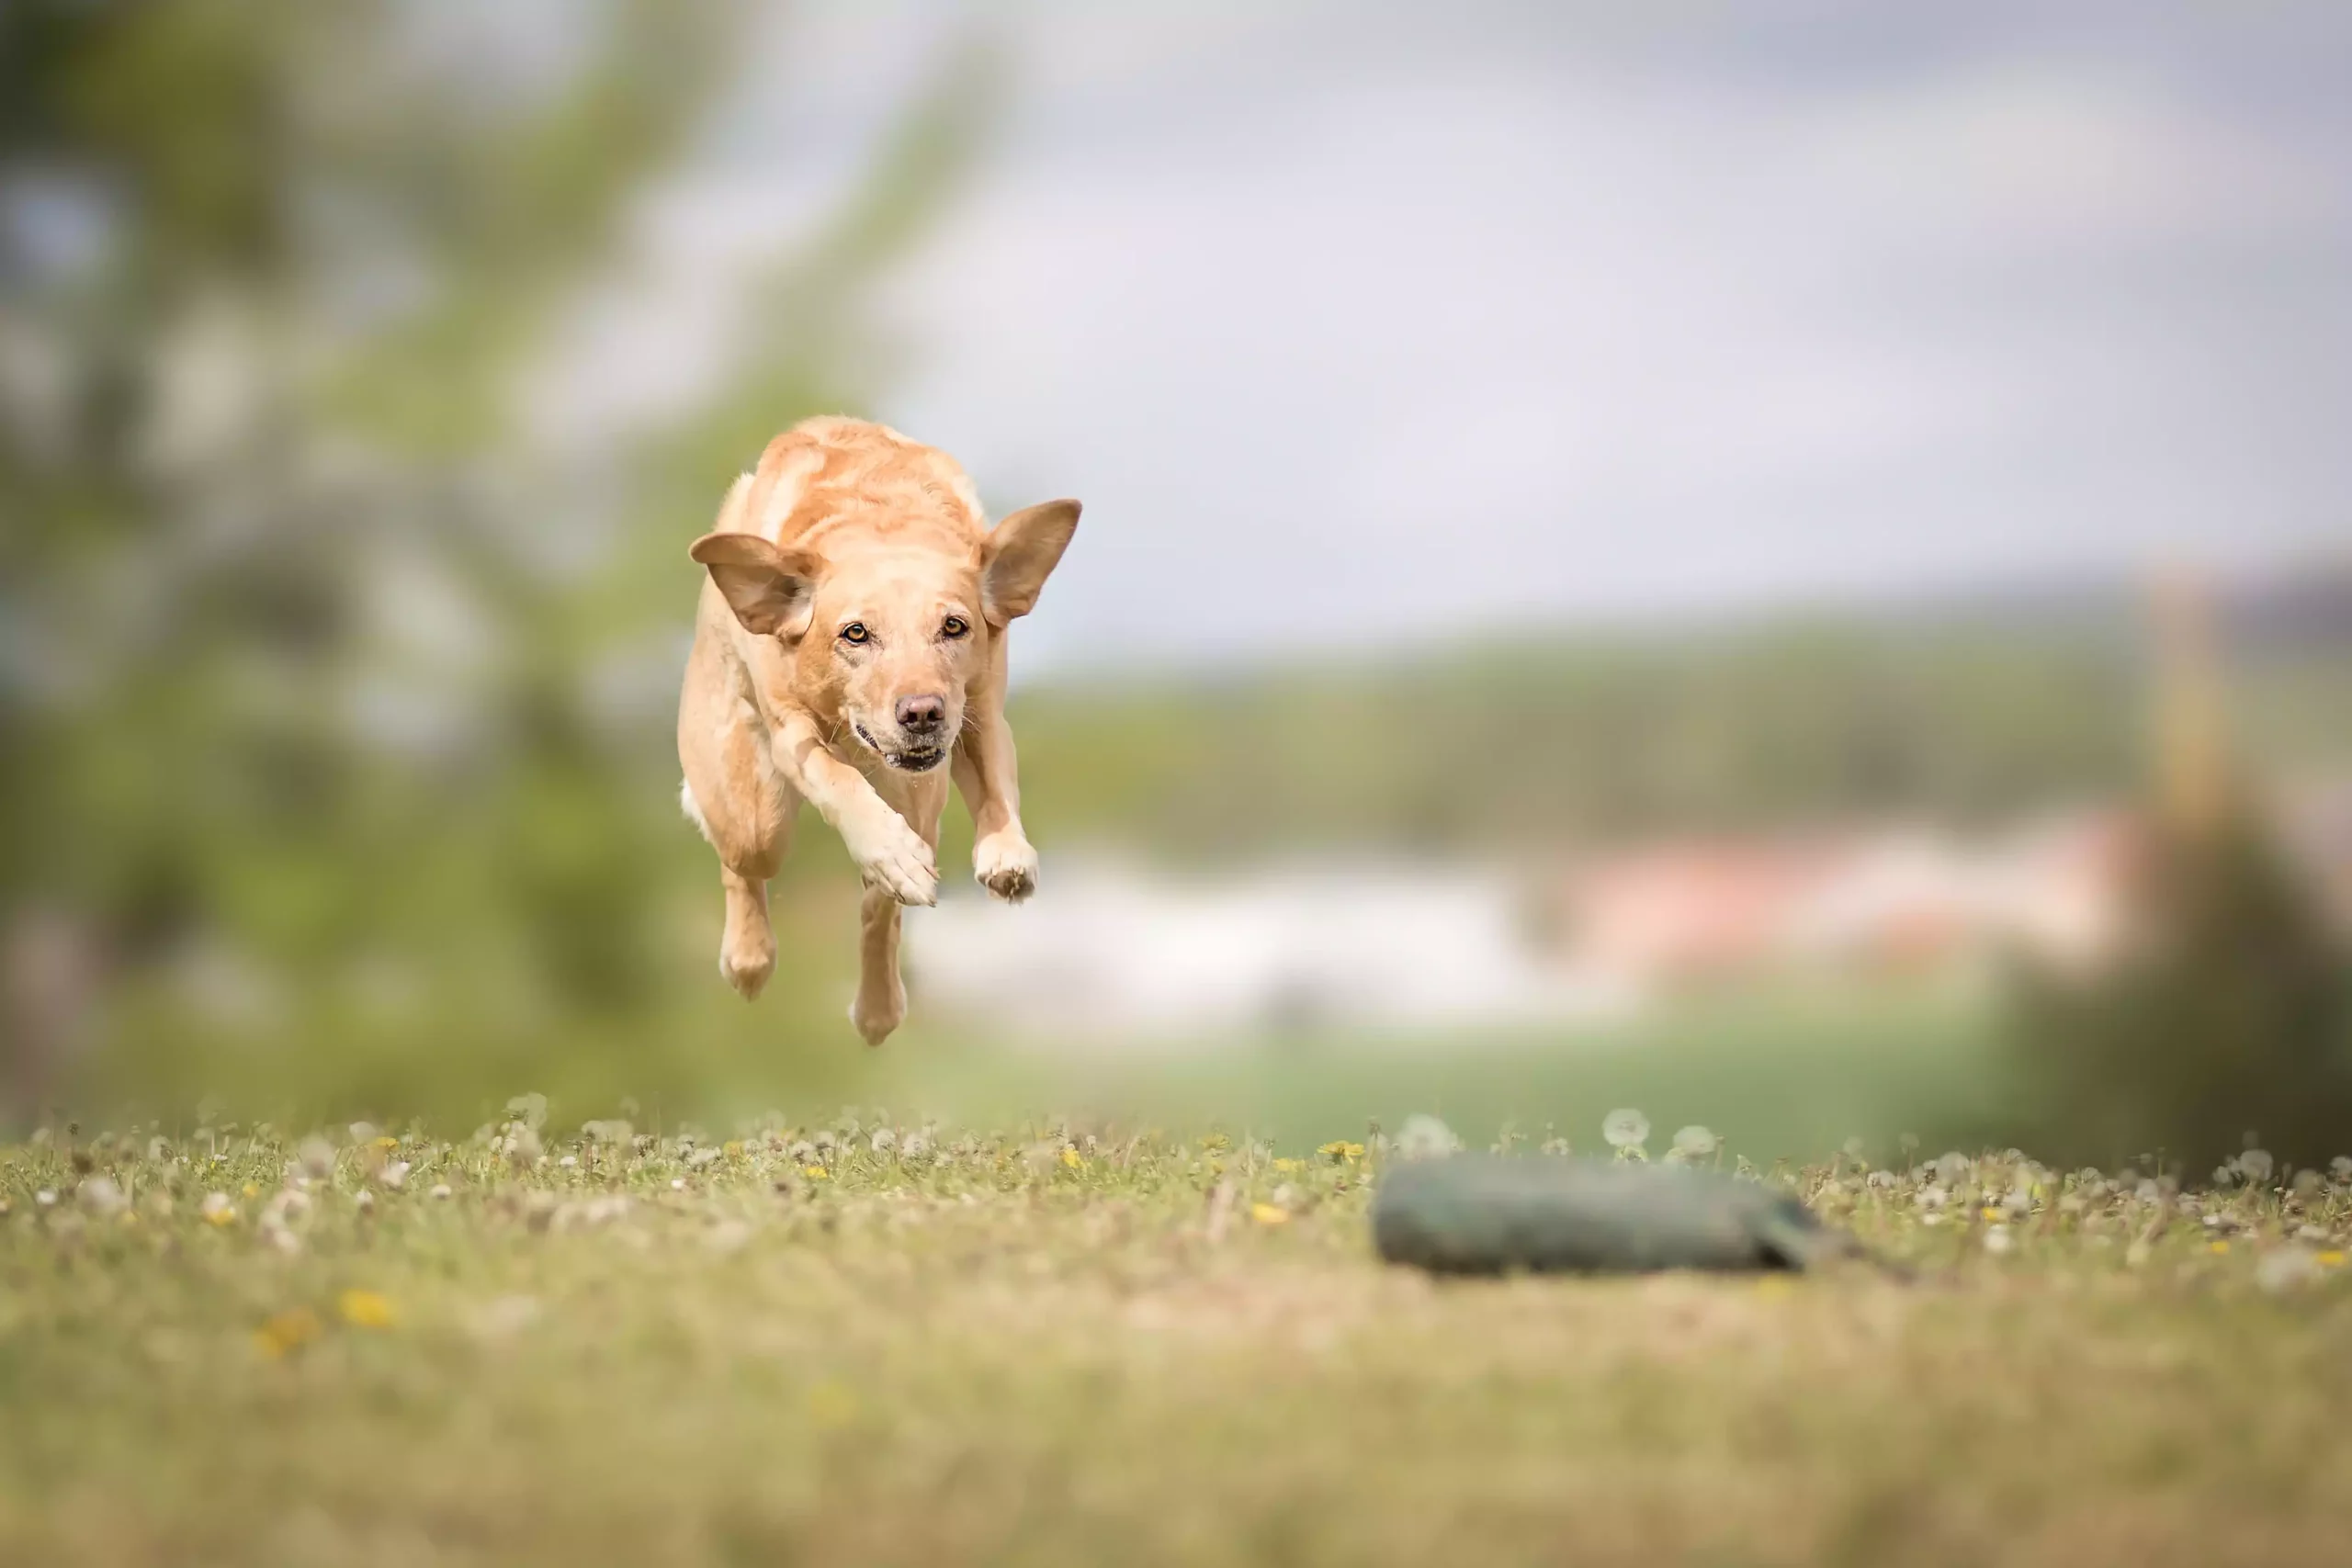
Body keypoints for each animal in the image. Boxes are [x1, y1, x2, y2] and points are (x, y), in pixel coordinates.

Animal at [677, 415, 1077, 1043]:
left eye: (954, 626)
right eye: (856, 633)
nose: (922, 713)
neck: (880, 523)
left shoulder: (979, 711)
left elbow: (995, 782)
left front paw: (1005, 853)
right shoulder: (791, 734)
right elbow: (836, 778)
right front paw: (887, 848)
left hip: (918, 798)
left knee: (879, 907)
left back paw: (878, 1005)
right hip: (753, 813)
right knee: (744, 859)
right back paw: (749, 958)